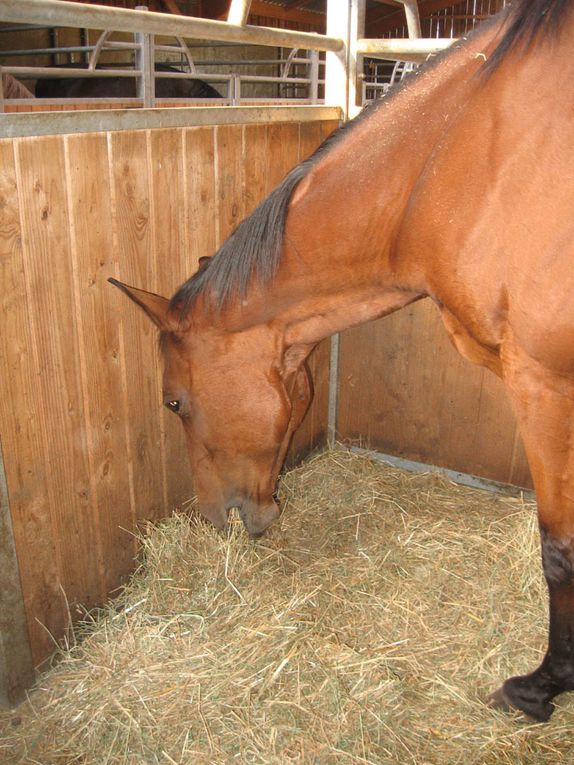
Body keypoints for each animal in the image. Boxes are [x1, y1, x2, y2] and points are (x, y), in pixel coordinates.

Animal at [110, 0, 574, 724]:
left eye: (174, 402)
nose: (213, 517)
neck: (461, 164)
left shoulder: (545, 383)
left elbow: (559, 550)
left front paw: (539, 686)